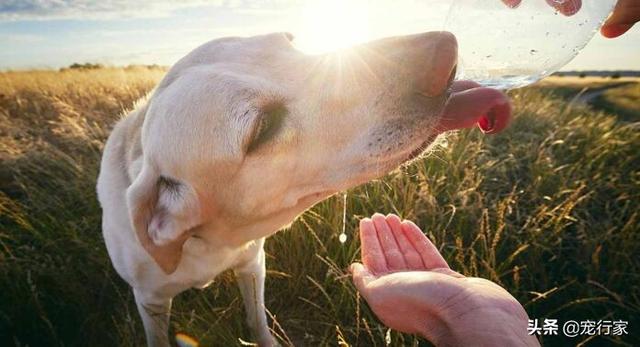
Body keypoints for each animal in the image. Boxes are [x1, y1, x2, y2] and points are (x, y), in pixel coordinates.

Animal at [97, 31, 512, 346]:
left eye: (290, 42)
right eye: (262, 128)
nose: (446, 48)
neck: (205, 242)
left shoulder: (253, 265)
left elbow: (258, 321)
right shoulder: (150, 302)